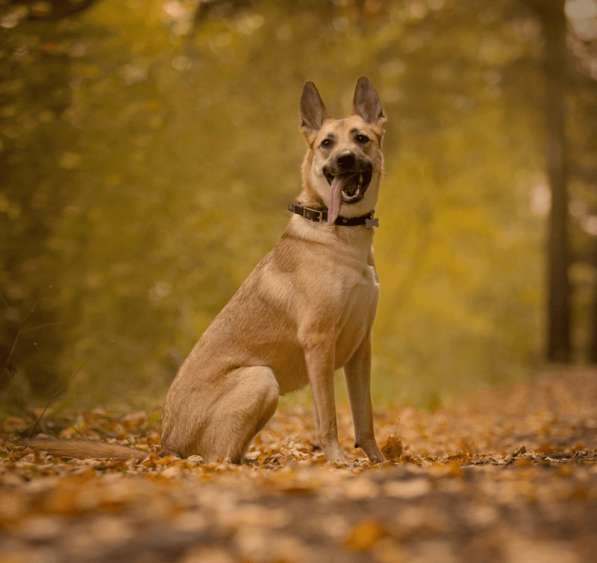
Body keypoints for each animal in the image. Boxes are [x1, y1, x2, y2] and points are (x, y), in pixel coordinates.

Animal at [30, 79, 386, 468]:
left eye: (361, 139)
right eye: (326, 143)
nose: (345, 159)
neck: (339, 232)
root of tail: (164, 446)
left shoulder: (361, 348)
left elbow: (364, 415)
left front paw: (379, 460)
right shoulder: (319, 343)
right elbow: (329, 417)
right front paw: (337, 459)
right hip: (261, 378)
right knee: (217, 457)